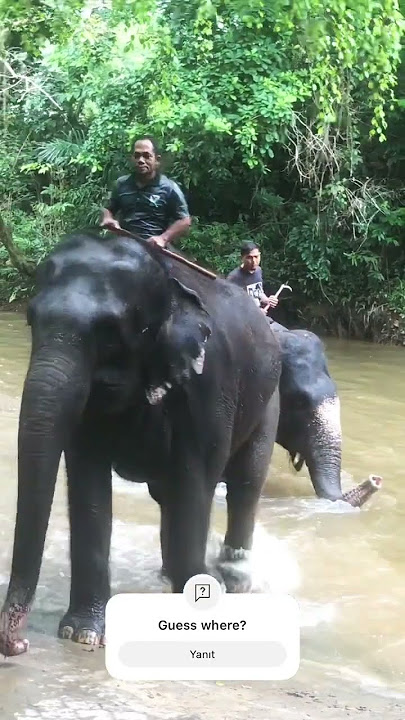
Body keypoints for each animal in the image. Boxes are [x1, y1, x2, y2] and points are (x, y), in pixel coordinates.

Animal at [0, 231, 282, 657]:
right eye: (31, 319)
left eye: (109, 330)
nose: (19, 644)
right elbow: (88, 483)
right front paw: (83, 634)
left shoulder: (209, 386)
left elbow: (193, 485)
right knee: (168, 495)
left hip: (269, 401)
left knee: (245, 487)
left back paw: (234, 582)